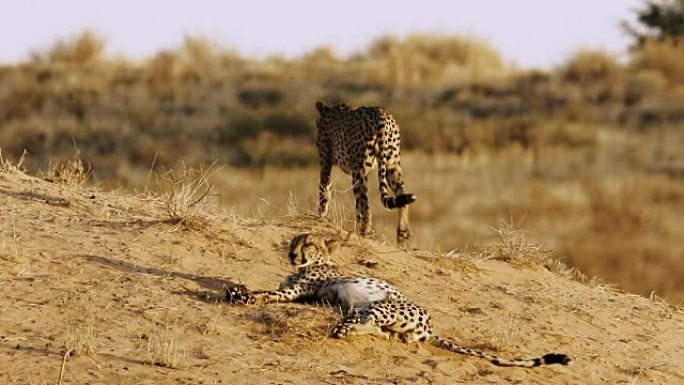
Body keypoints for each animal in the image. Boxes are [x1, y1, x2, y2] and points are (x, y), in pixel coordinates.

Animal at [226, 232, 572, 368]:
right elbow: (264, 291)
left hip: (381, 304)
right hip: (383, 317)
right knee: (381, 332)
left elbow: (267, 295)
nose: (292, 253)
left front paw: (243, 296)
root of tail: (430, 327)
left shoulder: (298, 292)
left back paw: (342, 328)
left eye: (307, 243)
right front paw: (237, 290)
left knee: (365, 321)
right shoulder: (301, 294)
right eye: (294, 241)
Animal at [316, 100, 416, 243]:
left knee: (365, 207)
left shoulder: (326, 163)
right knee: (401, 193)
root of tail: (382, 112)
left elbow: (324, 190)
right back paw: (402, 234)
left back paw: (363, 232)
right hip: (392, 164)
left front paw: (321, 217)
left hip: (359, 171)